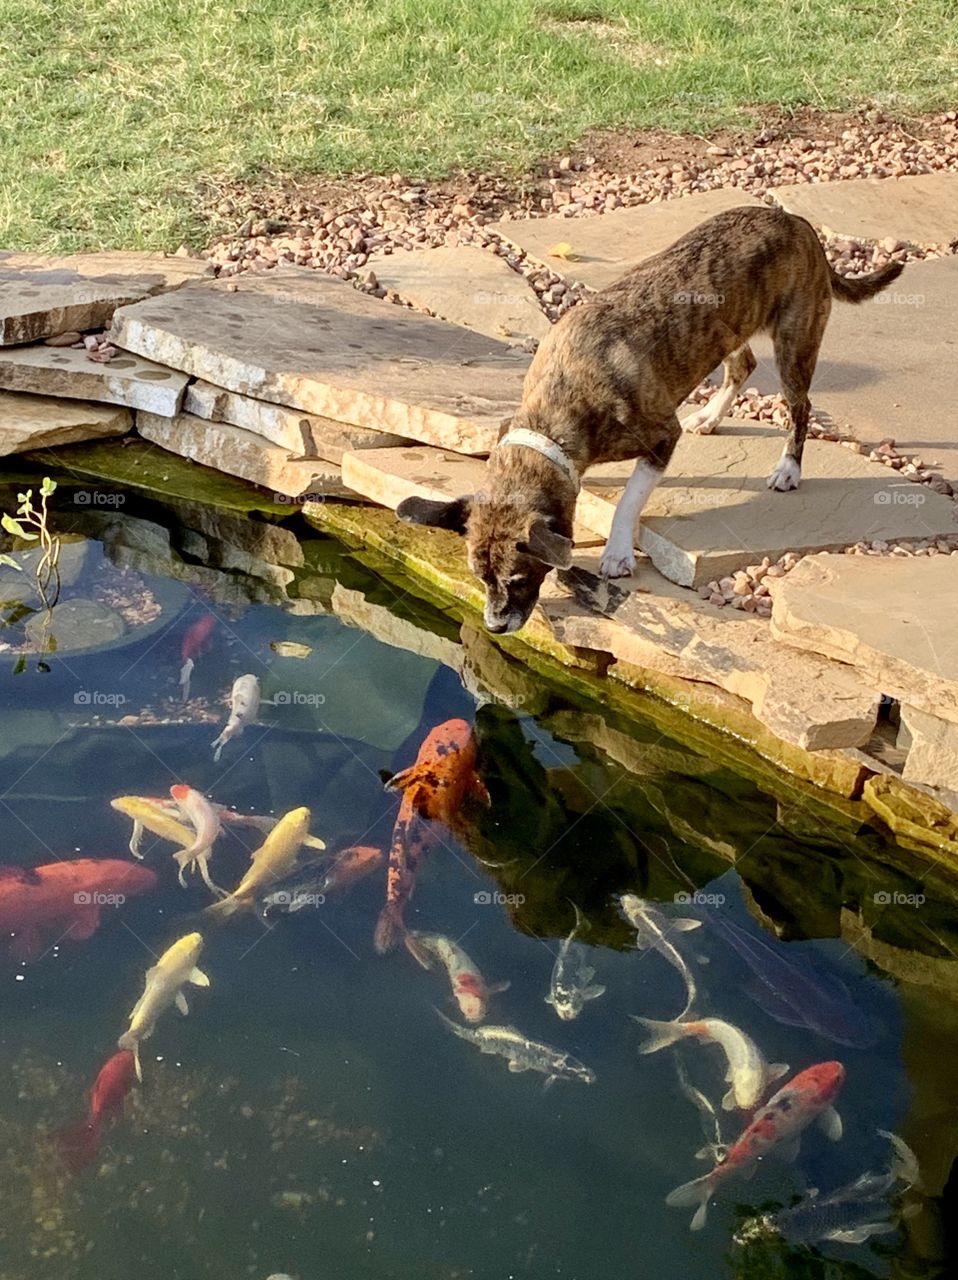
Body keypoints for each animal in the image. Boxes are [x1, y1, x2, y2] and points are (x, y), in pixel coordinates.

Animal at [397, 200, 906, 634]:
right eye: (479, 577)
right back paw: (712, 416)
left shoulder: (661, 436)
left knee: (799, 407)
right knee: (742, 366)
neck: (557, 409)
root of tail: (796, 222)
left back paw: (788, 469)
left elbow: (629, 499)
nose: (495, 626)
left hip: (794, 343)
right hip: (728, 328)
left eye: (519, 578)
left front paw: (618, 553)